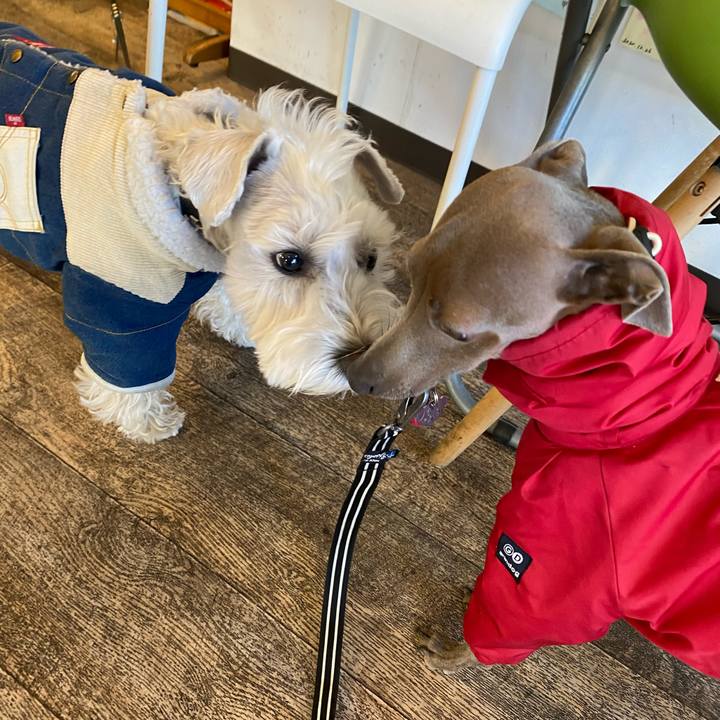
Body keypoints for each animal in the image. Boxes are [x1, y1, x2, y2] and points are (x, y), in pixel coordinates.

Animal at [0, 23, 403, 443]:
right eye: (289, 260)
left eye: (372, 258)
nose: (361, 371)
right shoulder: (119, 302)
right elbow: (129, 369)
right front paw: (147, 421)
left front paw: (236, 323)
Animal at [347, 140, 720, 679]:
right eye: (411, 269)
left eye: (459, 332)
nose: (356, 374)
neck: (646, 411)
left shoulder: (557, 571)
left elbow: (511, 618)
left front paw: (455, 652)